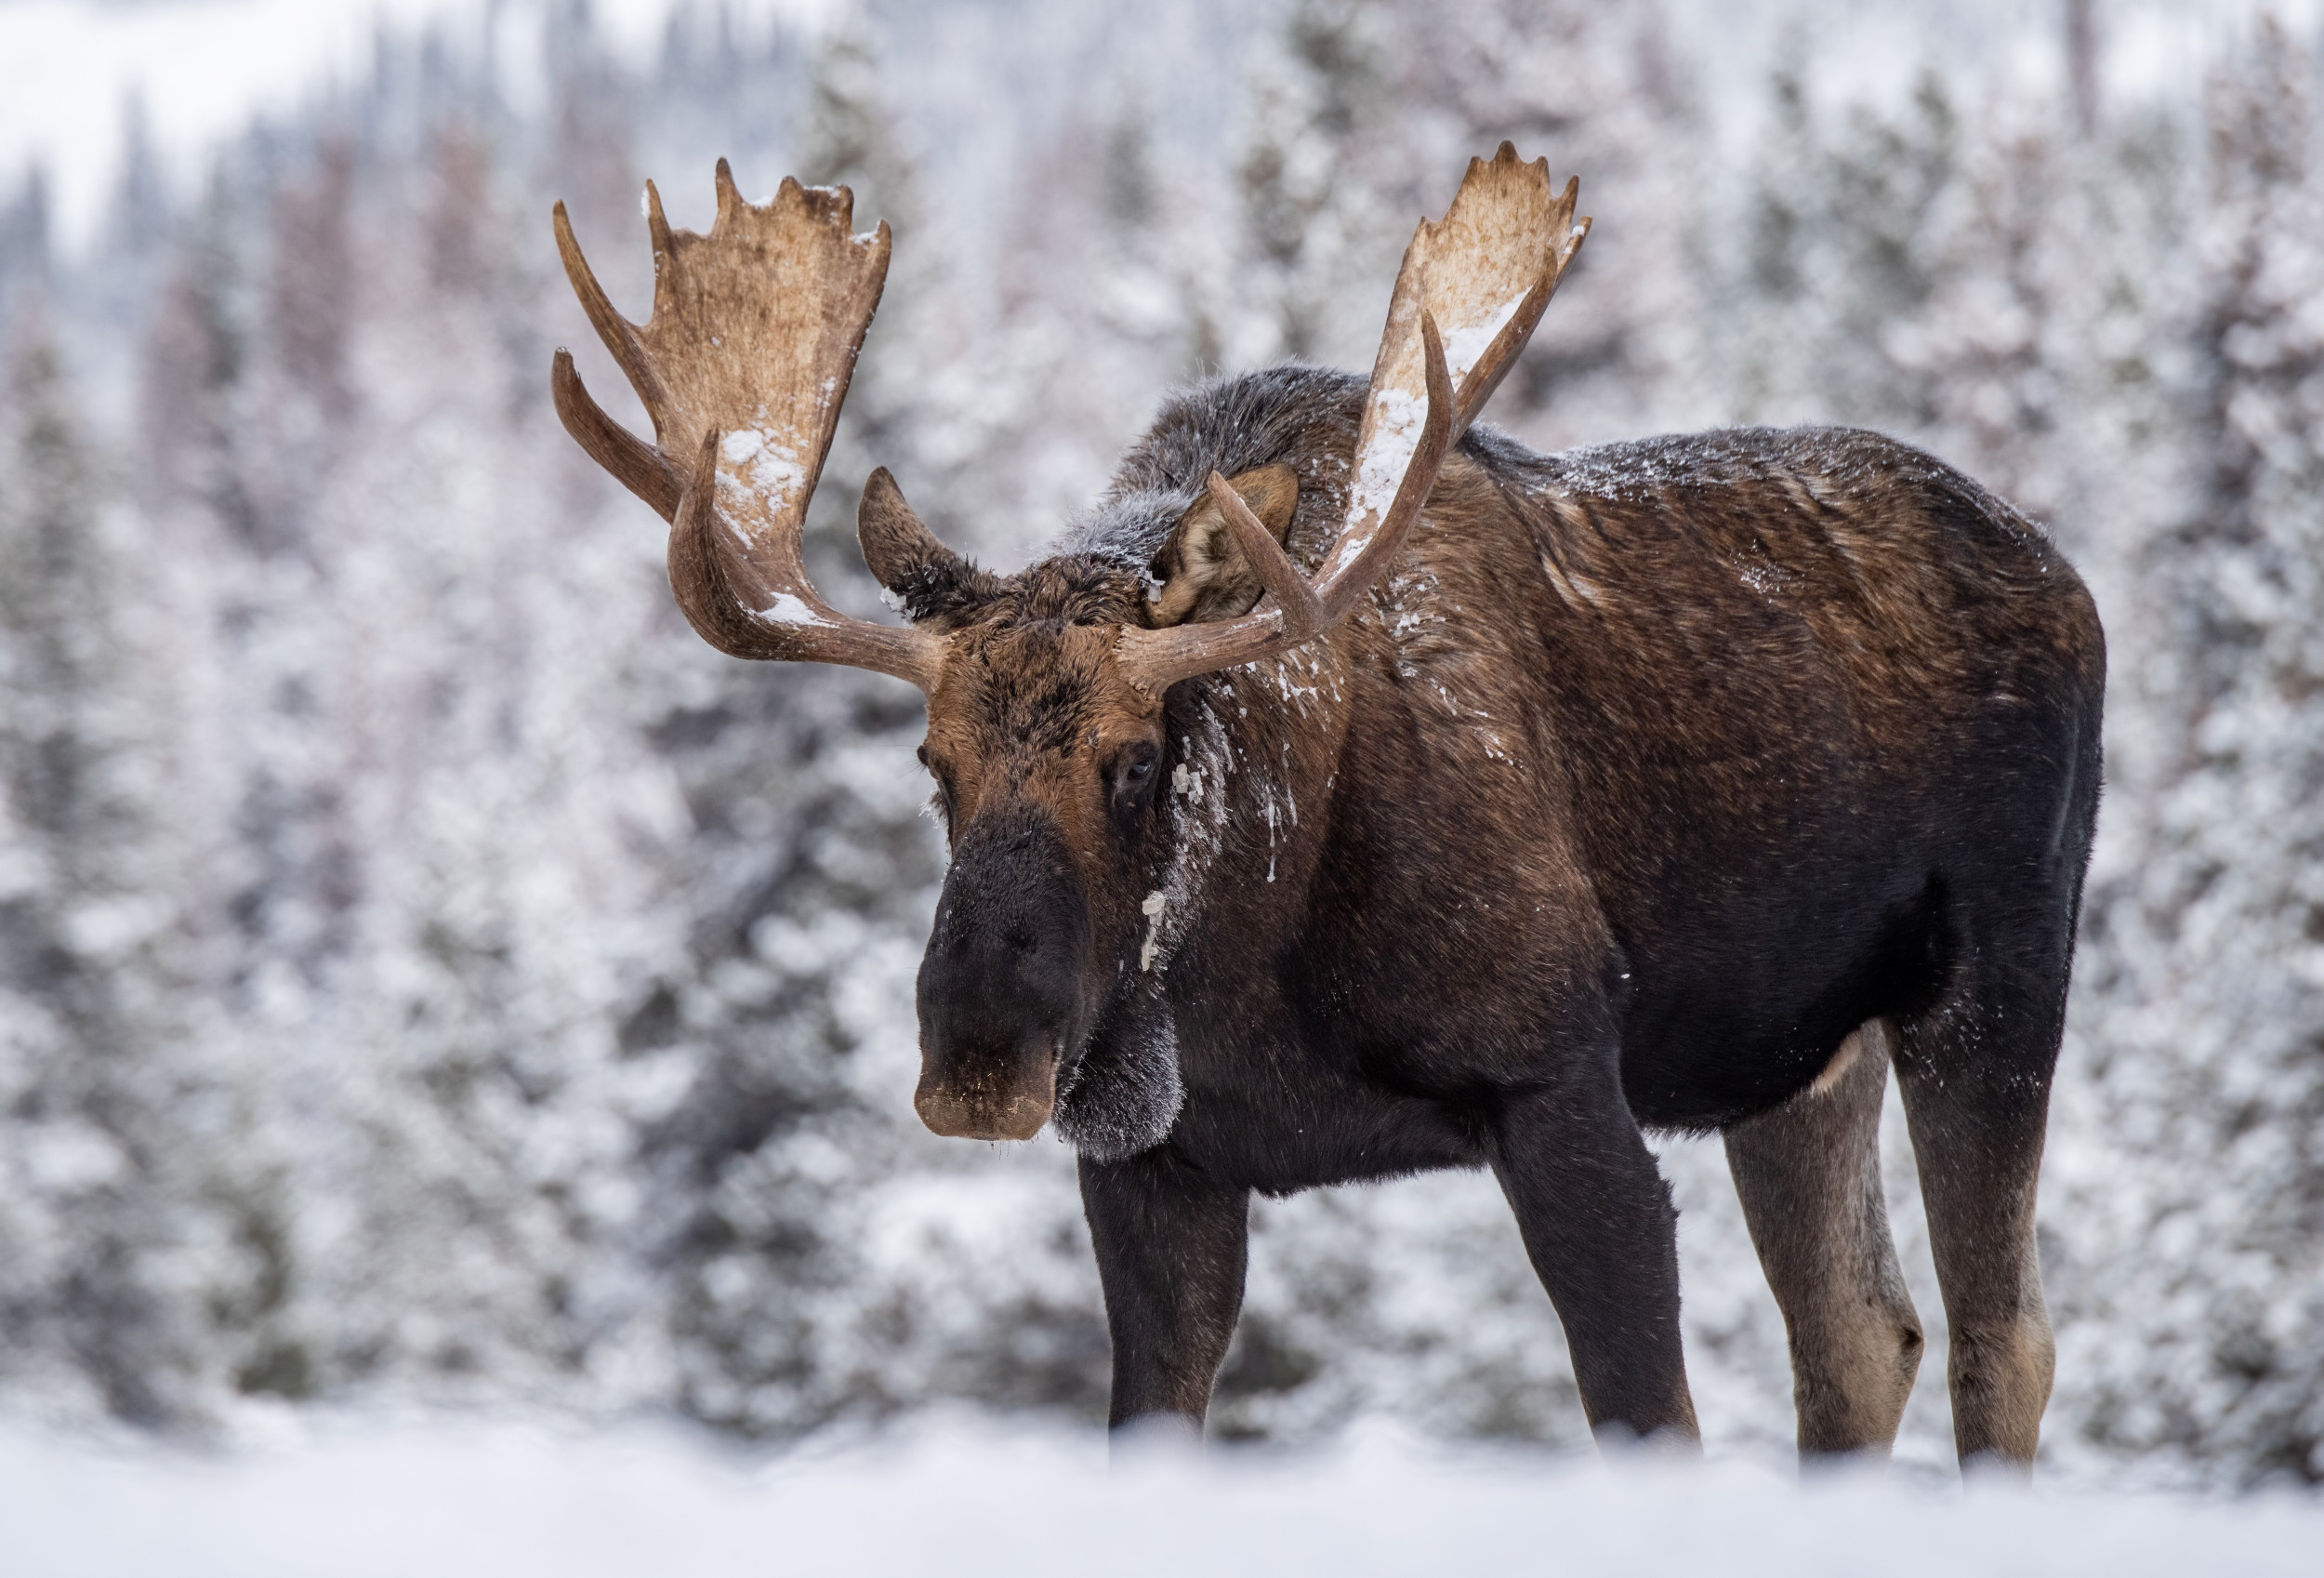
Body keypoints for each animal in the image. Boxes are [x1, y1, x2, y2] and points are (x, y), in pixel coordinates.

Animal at [548, 145, 2110, 1468]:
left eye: (1135, 756)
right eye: (933, 763)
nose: (982, 1058)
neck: (1256, 958)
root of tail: (2073, 582)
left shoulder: (1560, 1082)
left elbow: (1650, 1420)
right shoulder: (1156, 1166)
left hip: (1995, 980)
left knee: (2002, 1338)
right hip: (1792, 1062)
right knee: (1859, 1337)